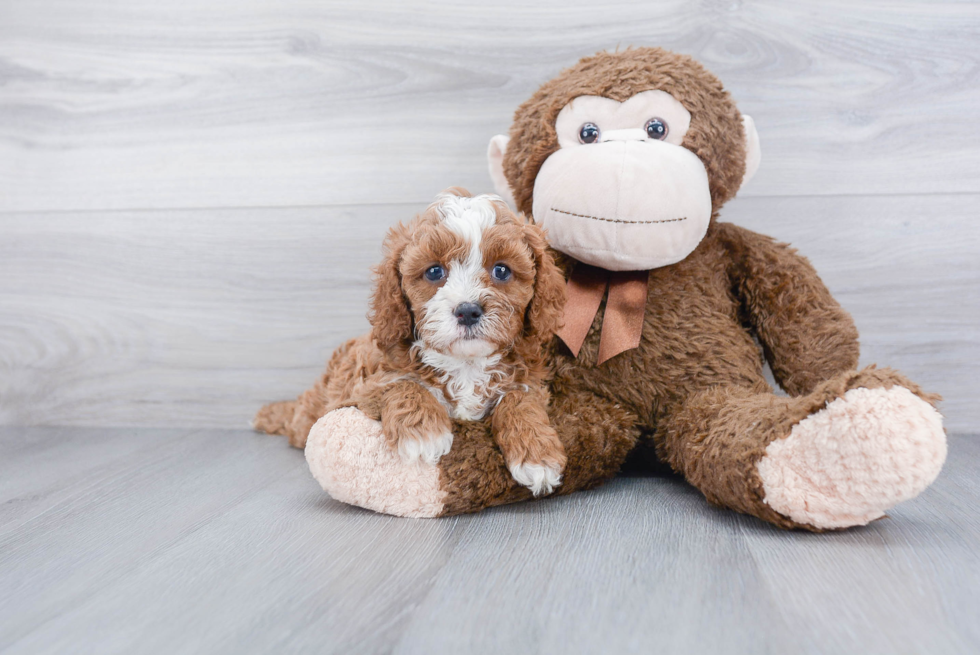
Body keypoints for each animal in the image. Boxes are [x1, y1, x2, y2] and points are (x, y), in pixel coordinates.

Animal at [256, 187, 572, 494]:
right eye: (434, 271)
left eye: (502, 270)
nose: (468, 311)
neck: (466, 364)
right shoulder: (362, 386)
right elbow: (402, 382)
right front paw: (423, 434)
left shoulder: (529, 378)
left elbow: (520, 399)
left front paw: (536, 454)